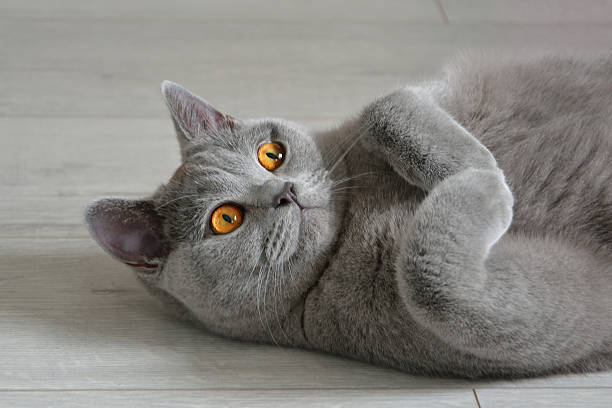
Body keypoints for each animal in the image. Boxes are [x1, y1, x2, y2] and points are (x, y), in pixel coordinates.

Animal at [85, 55, 612, 380]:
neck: (351, 226)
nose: (286, 192)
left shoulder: (397, 106)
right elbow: (434, 284)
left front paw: (478, 164)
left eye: (271, 155)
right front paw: (489, 179)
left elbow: (385, 105)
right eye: (225, 219)